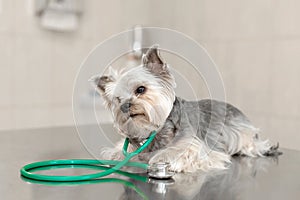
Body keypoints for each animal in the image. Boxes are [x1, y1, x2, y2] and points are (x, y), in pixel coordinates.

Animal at [90, 45, 280, 172]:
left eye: (141, 89)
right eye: (117, 99)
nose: (124, 106)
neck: (154, 131)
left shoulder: (195, 146)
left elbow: (181, 152)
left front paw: (163, 158)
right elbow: (117, 153)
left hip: (243, 135)